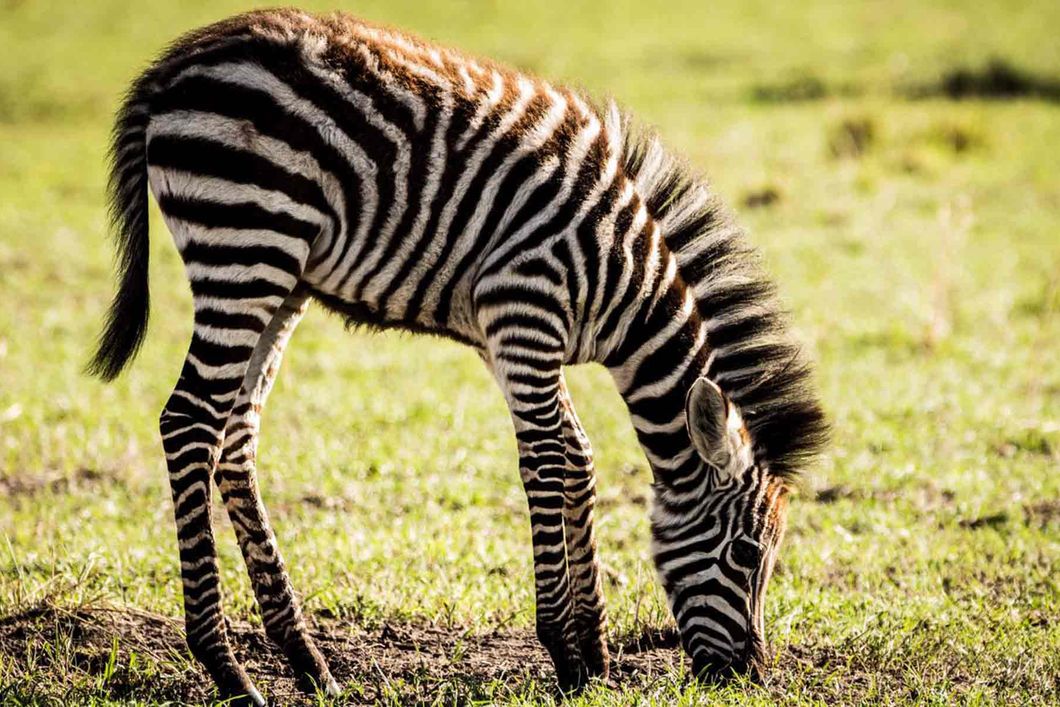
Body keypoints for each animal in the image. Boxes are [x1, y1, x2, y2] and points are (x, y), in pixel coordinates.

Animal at [89, 9, 827, 704]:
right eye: (747, 552)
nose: (749, 675)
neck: (622, 282)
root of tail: (177, 63)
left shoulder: (511, 337)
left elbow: (579, 457)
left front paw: (593, 651)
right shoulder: (526, 308)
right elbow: (549, 461)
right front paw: (565, 652)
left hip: (280, 274)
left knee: (234, 435)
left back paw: (306, 662)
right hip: (248, 241)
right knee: (189, 421)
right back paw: (228, 670)